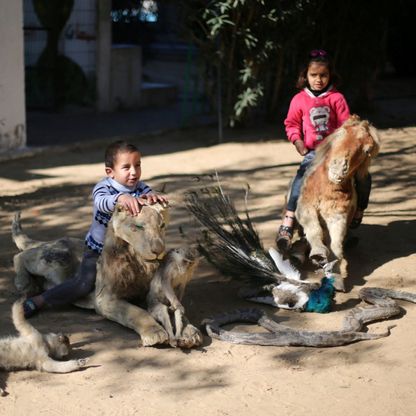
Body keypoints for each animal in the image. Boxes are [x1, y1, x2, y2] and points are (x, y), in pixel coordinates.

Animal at [11, 203, 203, 350]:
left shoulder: (152, 294)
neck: (139, 261)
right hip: (58, 258)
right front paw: (154, 333)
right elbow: (136, 312)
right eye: (139, 227)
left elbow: (179, 312)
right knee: (21, 256)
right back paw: (24, 284)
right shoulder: (105, 298)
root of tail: (53, 241)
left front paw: (190, 332)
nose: (158, 250)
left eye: (162, 226)